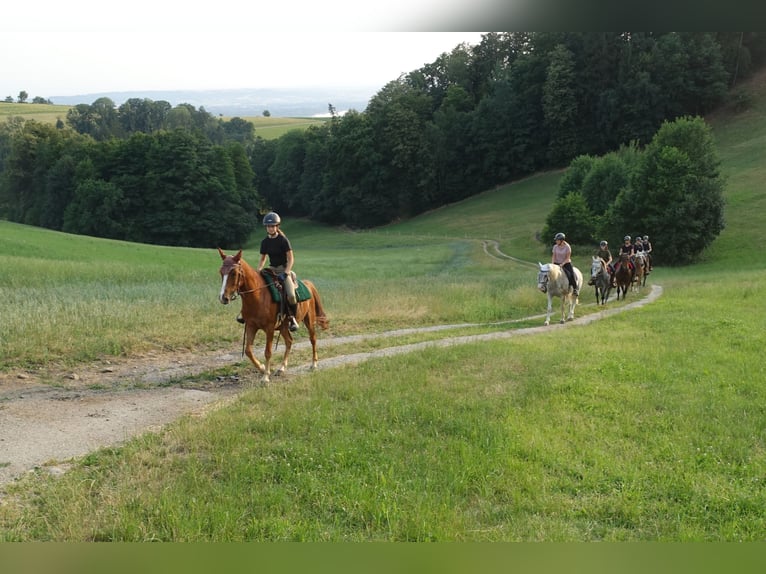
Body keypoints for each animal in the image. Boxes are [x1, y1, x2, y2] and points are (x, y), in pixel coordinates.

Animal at [220, 250, 332, 384]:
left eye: (234, 273)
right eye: (221, 272)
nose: (223, 298)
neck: (258, 296)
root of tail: (308, 284)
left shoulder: (269, 328)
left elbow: (268, 352)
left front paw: (265, 377)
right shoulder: (251, 326)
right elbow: (248, 350)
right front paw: (262, 368)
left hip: (309, 320)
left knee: (313, 339)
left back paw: (314, 364)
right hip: (283, 327)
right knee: (289, 341)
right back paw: (282, 368)